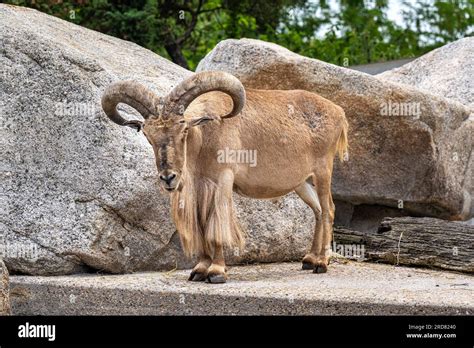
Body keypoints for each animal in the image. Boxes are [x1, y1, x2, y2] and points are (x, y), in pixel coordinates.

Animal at [101, 70, 348, 282]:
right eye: (148, 135)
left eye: (184, 130)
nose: (168, 177)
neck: (204, 138)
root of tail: (338, 111)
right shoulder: (197, 187)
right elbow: (200, 225)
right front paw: (199, 269)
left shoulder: (223, 179)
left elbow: (216, 222)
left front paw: (217, 271)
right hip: (302, 182)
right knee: (317, 210)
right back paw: (309, 259)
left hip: (323, 171)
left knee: (328, 209)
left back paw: (322, 262)